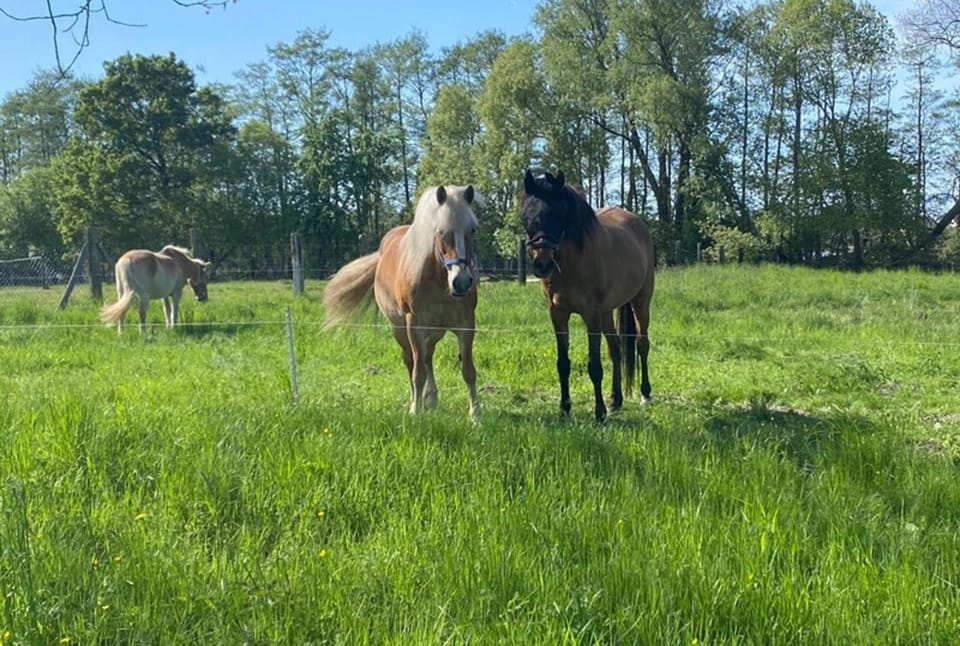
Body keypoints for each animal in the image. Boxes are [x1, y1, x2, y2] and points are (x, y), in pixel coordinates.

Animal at [323, 185, 481, 420]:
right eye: (441, 231)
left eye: (472, 230)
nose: (461, 283)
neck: (438, 280)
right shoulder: (414, 325)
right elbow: (417, 372)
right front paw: (415, 410)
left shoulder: (466, 323)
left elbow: (468, 370)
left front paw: (476, 414)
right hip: (400, 329)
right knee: (411, 361)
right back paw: (416, 399)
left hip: (436, 331)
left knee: (427, 356)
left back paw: (431, 398)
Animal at [521, 169, 655, 422]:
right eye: (525, 217)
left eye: (557, 215)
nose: (542, 265)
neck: (570, 265)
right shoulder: (558, 314)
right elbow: (563, 363)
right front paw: (564, 409)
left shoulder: (590, 314)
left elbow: (594, 365)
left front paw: (599, 413)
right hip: (607, 312)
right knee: (615, 349)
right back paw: (615, 399)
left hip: (640, 301)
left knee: (642, 344)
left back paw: (645, 394)